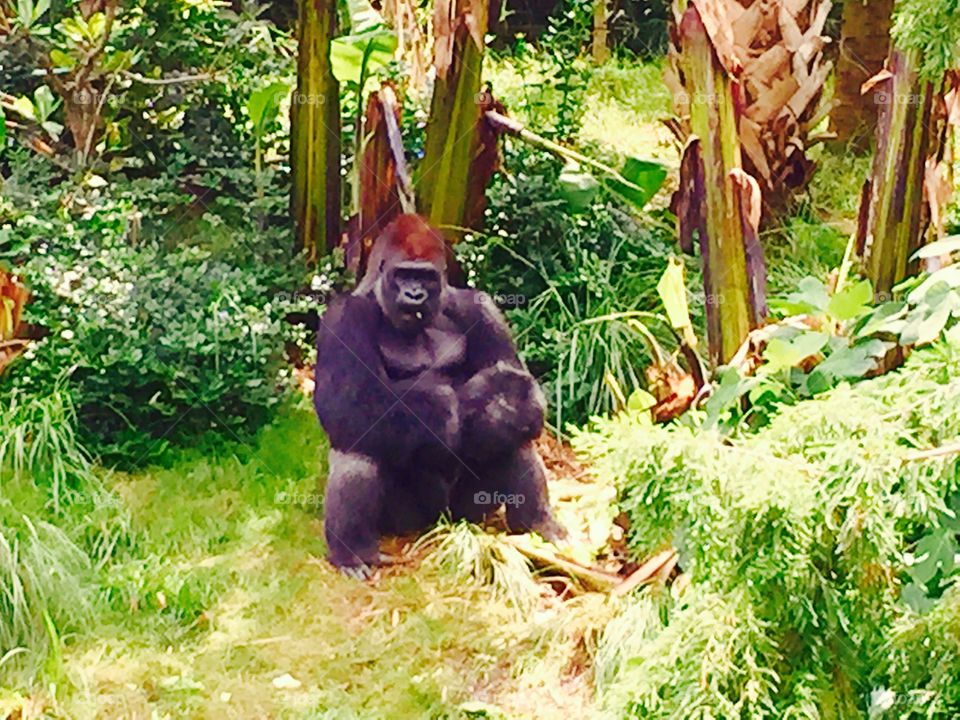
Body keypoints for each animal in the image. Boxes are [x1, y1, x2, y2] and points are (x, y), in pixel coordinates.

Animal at [316, 212, 564, 572]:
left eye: (426, 277)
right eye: (403, 274)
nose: (414, 294)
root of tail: (440, 521)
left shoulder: (482, 308)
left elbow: (521, 387)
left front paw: (498, 404)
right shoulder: (341, 318)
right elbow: (348, 403)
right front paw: (469, 401)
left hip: (468, 511)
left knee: (518, 434)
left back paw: (538, 524)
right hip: (407, 519)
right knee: (360, 445)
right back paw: (352, 550)